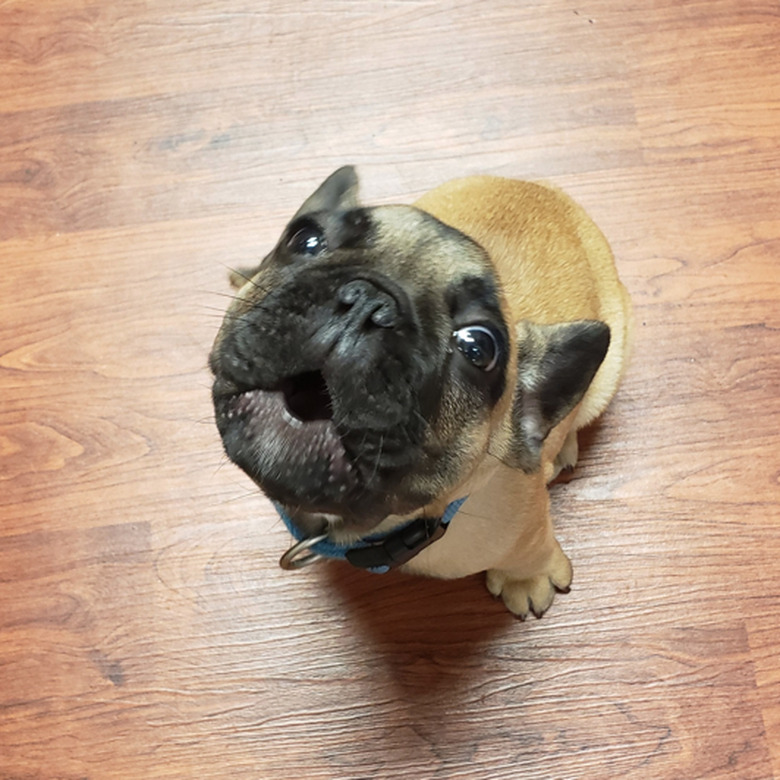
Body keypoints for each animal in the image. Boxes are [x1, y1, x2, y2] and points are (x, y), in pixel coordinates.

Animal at [209, 168, 632, 620]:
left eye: (478, 348)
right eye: (304, 239)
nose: (368, 300)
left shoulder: (527, 530)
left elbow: (530, 554)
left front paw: (526, 580)